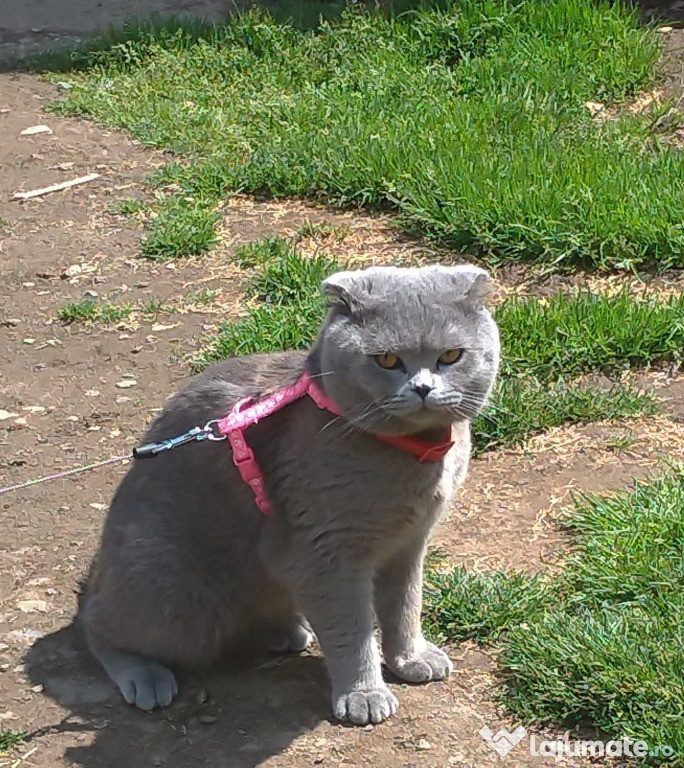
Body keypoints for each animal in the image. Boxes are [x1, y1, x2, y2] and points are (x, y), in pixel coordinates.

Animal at [80, 264, 500, 728]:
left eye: (451, 356)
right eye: (388, 360)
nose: (423, 387)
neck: (419, 453)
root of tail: (100, 566)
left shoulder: (410, 542)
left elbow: (406, 604)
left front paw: (411, 659)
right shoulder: (325, 551)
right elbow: (353, 628)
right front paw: (365, 695)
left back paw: (287, 632)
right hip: (173, 593)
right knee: (98, 623)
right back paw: (145, 677)